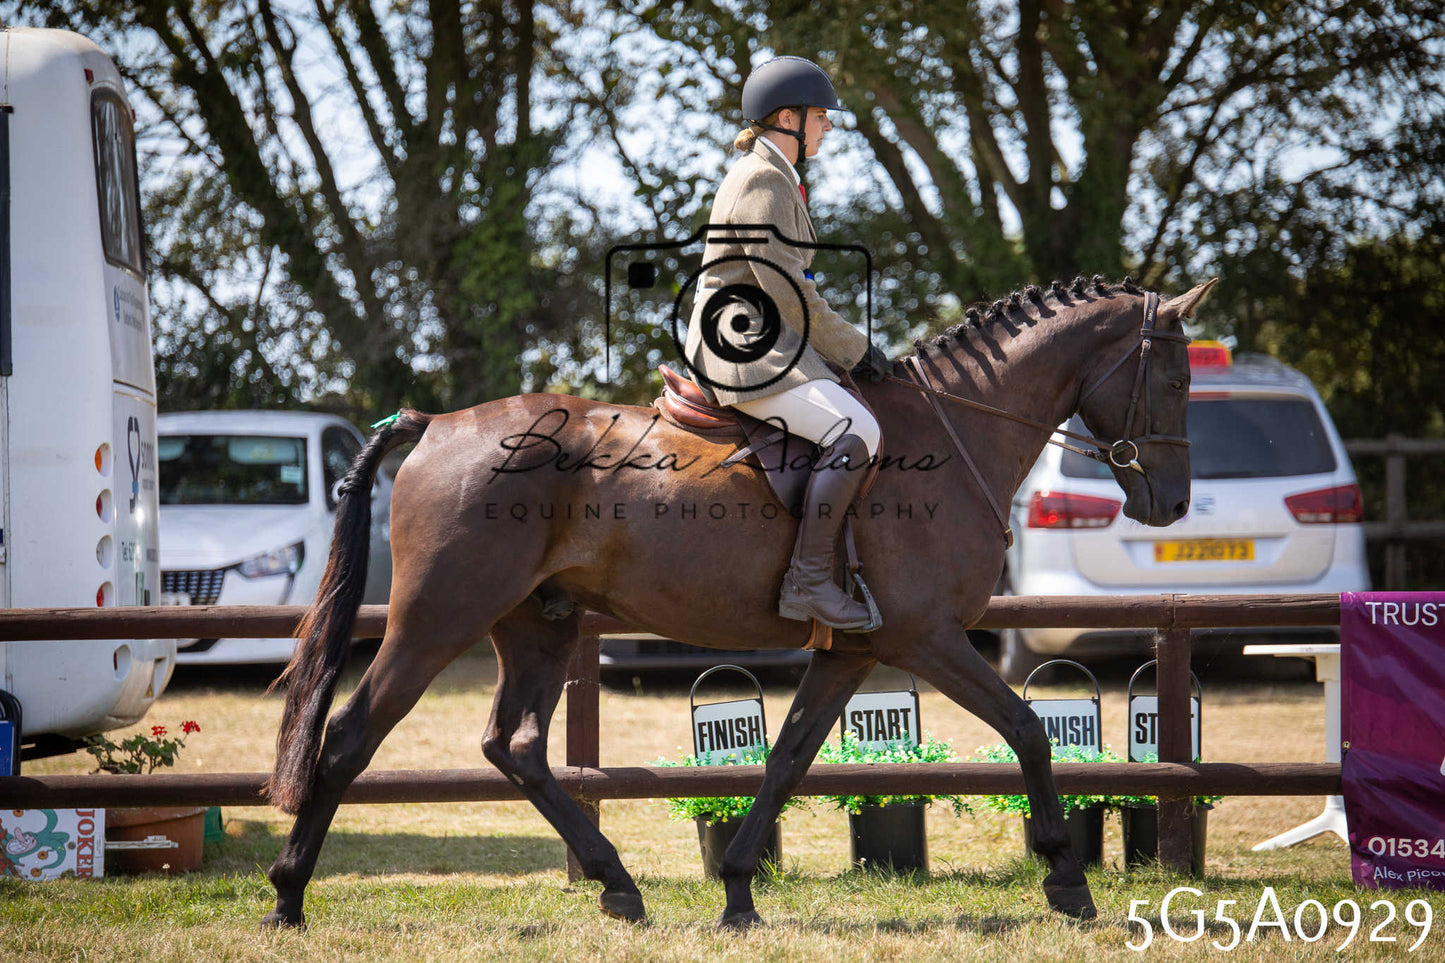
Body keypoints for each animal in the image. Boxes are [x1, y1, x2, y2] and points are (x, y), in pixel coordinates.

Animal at [260, 276, 1215, 930]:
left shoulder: (853, 650)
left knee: (515, 745)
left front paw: (739, 889)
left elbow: (787, 755)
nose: (1171, 504)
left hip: (536, 623)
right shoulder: (926, 636)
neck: (954, 432)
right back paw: (287, 896)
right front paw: (1067, 878)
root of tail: (437, 424)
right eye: (1173, 383)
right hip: (435, 621)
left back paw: (617, 884)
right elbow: (1024, 728)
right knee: (348, 738)